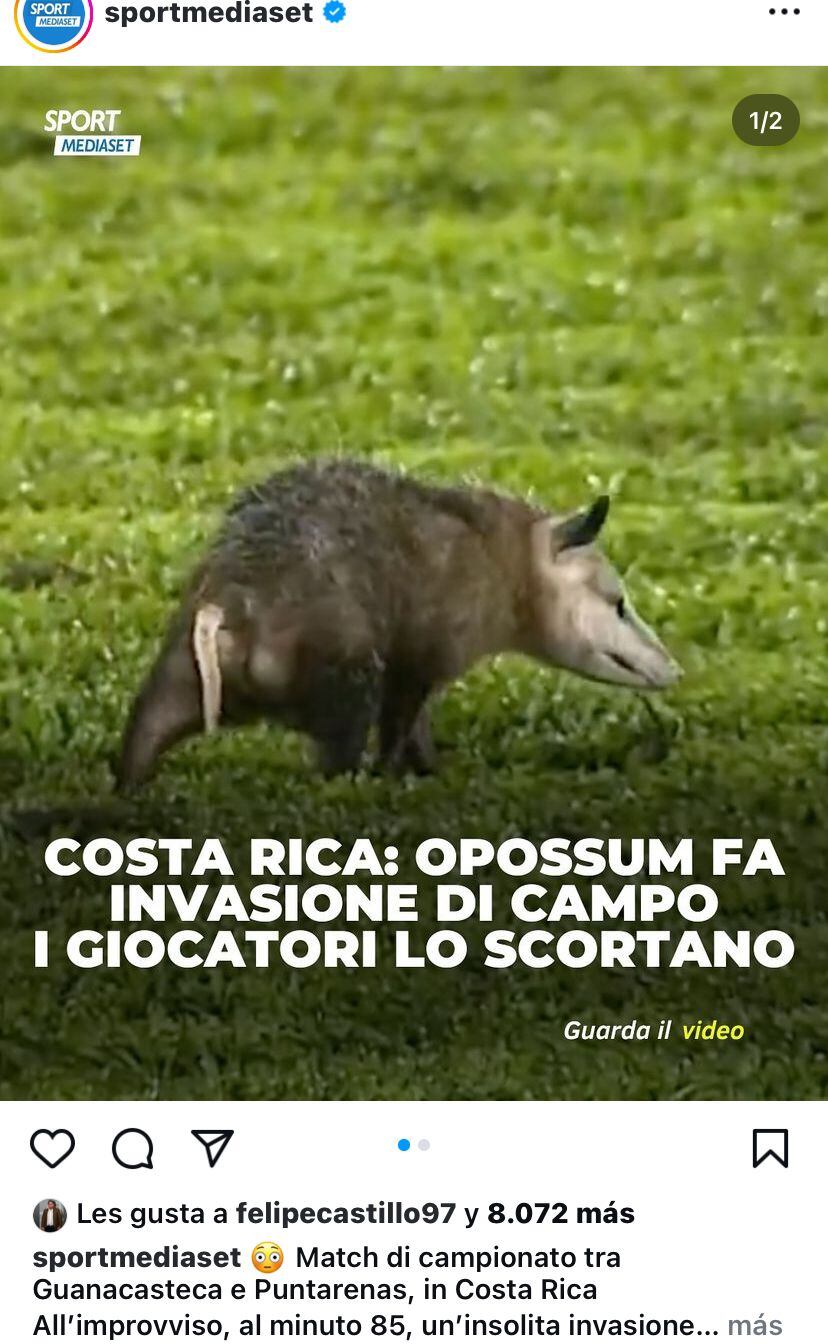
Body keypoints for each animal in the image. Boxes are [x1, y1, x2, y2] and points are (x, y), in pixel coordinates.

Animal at [115, 458, 681, 790]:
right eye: (619, 603)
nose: (673, 671)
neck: (500, 555)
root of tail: (234, 602)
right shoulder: (426, 648)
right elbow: (405, 713)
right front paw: (408, 771)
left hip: (180, 667)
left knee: (149, 723)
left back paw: (126, 787)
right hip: (341, 663)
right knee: (344, 735)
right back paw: (355, 779)